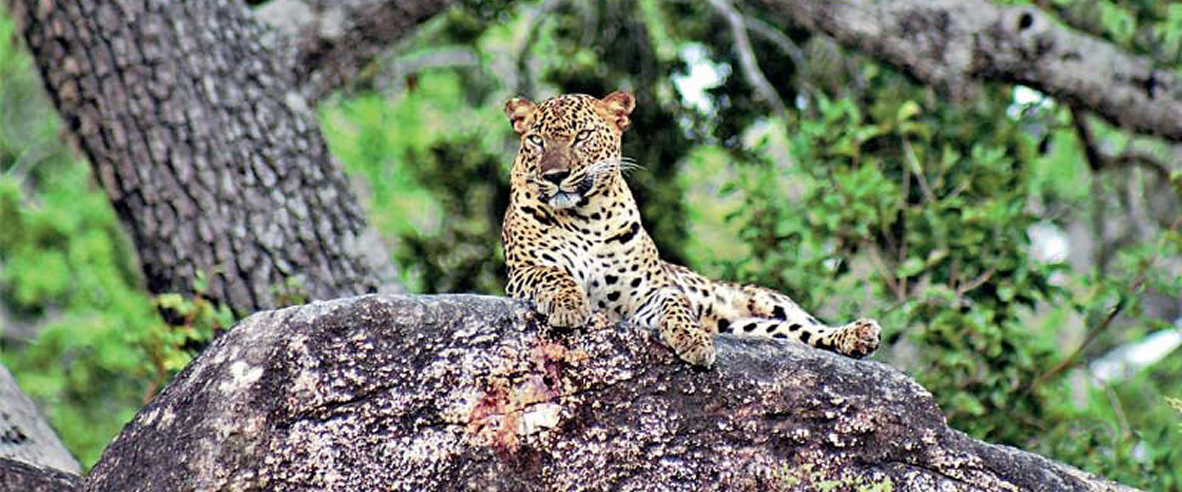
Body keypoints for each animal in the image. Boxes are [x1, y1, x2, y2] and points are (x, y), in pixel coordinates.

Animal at [501, 90, 880, 368]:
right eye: (536, 140)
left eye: (583, 136)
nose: (555, 176)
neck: (586, 218)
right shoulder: (522, 272)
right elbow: (553, 274)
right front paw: (568, 305)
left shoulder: (649, 293)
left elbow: (677, 301)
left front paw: (693, 339)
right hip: (744, 327)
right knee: (792, 333)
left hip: (770, 304)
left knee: (807, 326)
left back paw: (857, 333)